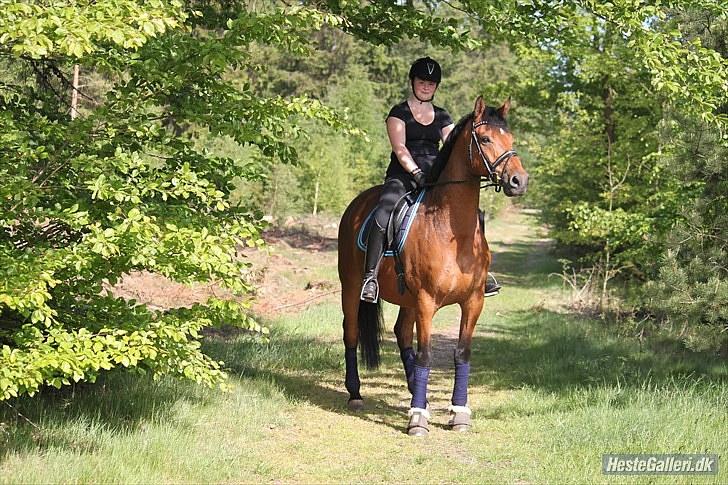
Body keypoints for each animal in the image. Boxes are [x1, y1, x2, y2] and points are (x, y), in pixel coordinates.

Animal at [336, 96, 528, 436]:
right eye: (486, 139)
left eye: (511, 138)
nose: (519, 181)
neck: (452, 231)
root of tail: (357, 205)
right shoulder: (426, 301)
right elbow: (425, 355)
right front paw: (418, 419)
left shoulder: (473, 301)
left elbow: (462, 353)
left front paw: (458, 413)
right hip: (351, 285)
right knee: (352, 332)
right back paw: (356, 393)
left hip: (407, 299)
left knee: (401, 334)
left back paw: (417, 393)